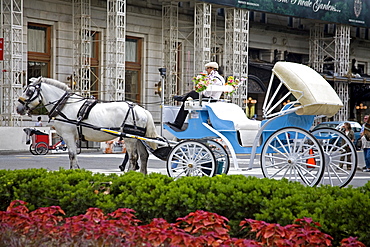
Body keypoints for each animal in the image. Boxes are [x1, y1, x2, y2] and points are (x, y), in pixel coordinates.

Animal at [16, 77, 159, 174]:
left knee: (133, 158)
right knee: (144, 156)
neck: (64, 105)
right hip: (139, 138)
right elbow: (73, 155)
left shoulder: (68, 136)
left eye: (29, 91)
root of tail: (141, 109)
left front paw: (74, 172)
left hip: (130, 138)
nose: (18, 108)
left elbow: (72, 155)